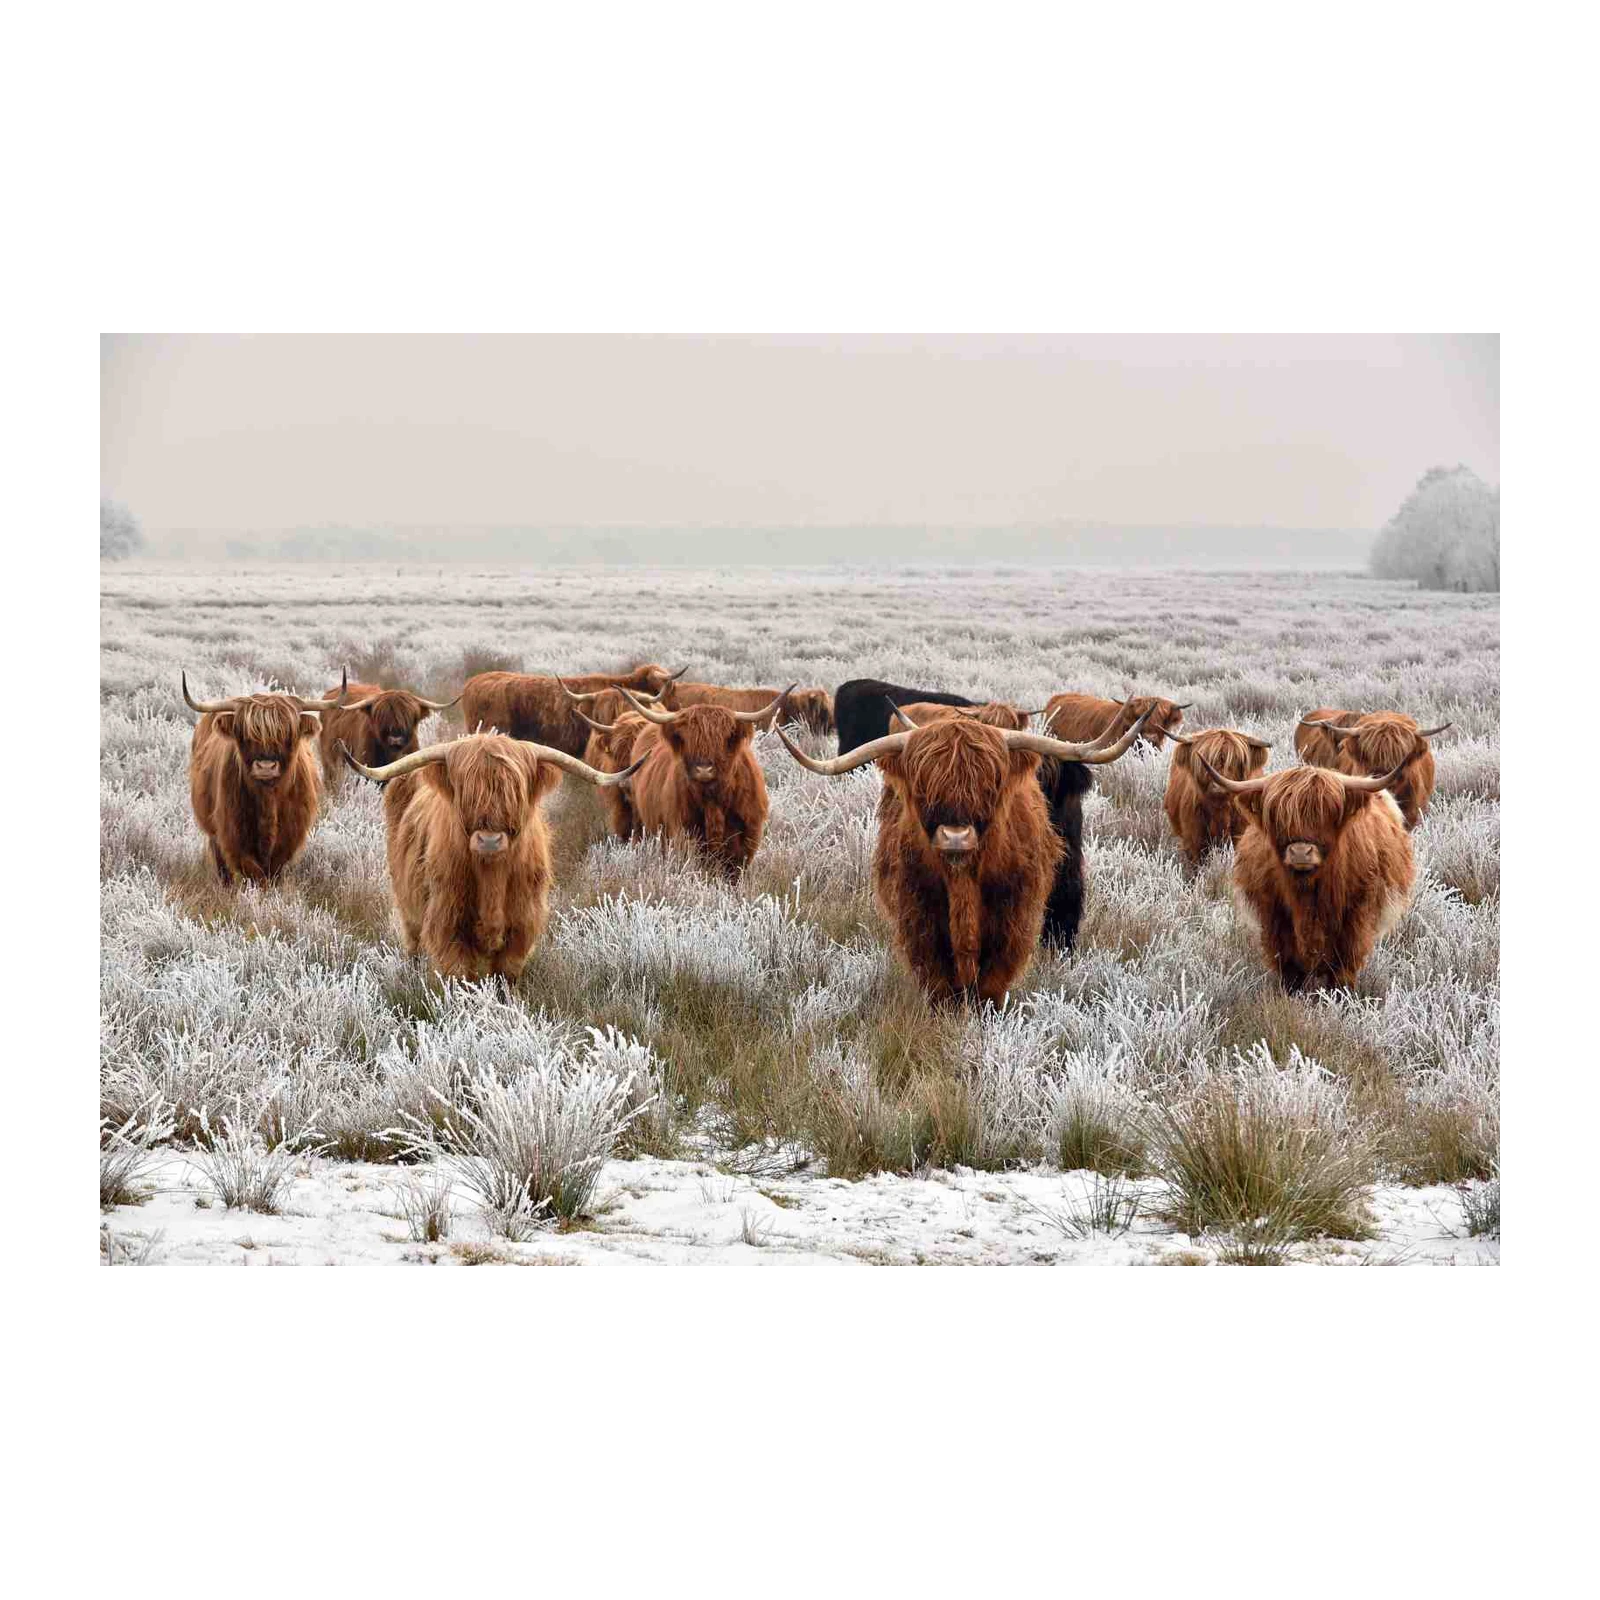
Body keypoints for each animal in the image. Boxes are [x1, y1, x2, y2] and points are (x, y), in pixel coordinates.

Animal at [182, 670, 344, 884]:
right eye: (244, 734)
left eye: (288, 734)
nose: (266, 766)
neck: (268, 800)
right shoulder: (233, 836)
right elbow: (254, 873)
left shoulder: (289, 839)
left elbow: (272, 872)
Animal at [339, 733, 642, 982]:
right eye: (466, 791)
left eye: (515, 791)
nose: (489, 840)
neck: (491, 878)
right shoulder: (447, 924)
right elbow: (460, 978)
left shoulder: (522, 926)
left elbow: (504, 977)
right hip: (408, 908)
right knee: (413, 942)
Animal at [611, 684, 792, 876]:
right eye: (687, 739)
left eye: (723, 739)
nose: (704, 769)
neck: (713, 801)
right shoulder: (684, 834)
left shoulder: (746, 839)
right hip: (640, 819)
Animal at [773, 707, 1152, 1007]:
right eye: (923, 787)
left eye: (990, 785)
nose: (956, 836)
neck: (963, 882)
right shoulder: (919, 919)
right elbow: (940, 983)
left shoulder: (1012, 921)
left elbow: (990, 985)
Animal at [1199, 755, 1416, 993]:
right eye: (1278, 817)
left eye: (1328, 813)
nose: (1300, 852)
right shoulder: (1274, 917)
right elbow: (1289, 967)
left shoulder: (1356, 917)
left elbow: (1344, 966)